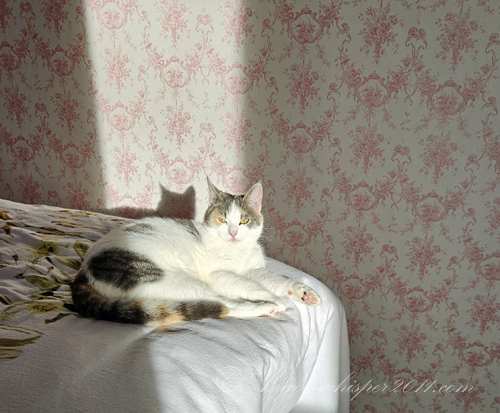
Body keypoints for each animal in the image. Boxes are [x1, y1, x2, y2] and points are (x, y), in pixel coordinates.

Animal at [71, 178, 321, 326]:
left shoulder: (254, 269)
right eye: (222, 220)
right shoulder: (220, 275)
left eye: (244, 220)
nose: (232, 232)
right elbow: (252, 286)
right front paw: (274, 298)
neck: (237, 251)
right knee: (222, 305)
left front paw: (303, 292)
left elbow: (276, 279)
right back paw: (266, 307)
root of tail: (82, 270)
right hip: (173, 281)